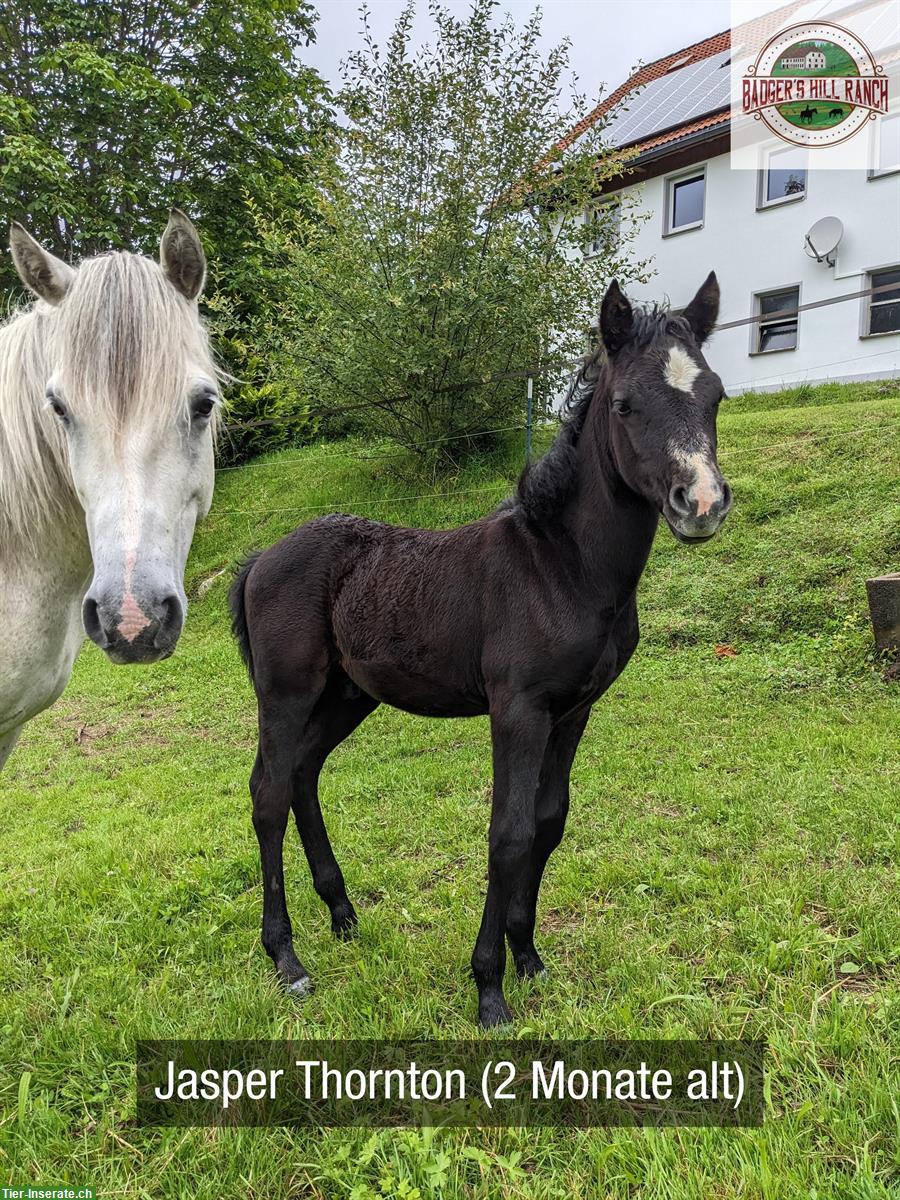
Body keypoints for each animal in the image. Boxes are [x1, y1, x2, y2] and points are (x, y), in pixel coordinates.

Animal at [230, 276, 734, 1027]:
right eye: (624, 404)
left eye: (716, 395)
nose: (699, 503)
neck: (563, 566)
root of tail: (261, 558)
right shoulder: (517, 709)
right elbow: (509, 832)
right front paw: (489, 988)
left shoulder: (573, 710)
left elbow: (549, 823)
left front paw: (529, 957)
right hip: (287, 691)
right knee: (268, 792)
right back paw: (287, 959)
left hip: (349, 694)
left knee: (302, 775)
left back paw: (343, 914)